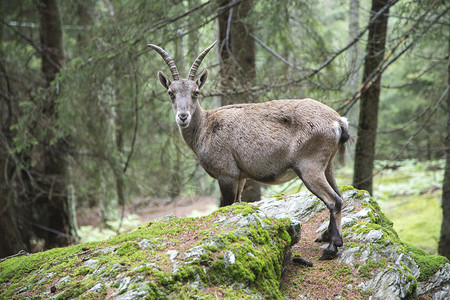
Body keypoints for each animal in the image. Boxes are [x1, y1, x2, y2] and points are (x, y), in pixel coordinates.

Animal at [148, 41, 348, 258]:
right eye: (171, 92)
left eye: (196, 92)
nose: (183, 117)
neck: (205, 127)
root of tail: (338, 121)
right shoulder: (241, 176)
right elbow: (238, 202)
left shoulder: (226, 174)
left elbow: (227, 205)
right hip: (328, 165)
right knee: (339, 195)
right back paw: (326, 237)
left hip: (309, 166)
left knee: (334, 200)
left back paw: (332, 247)